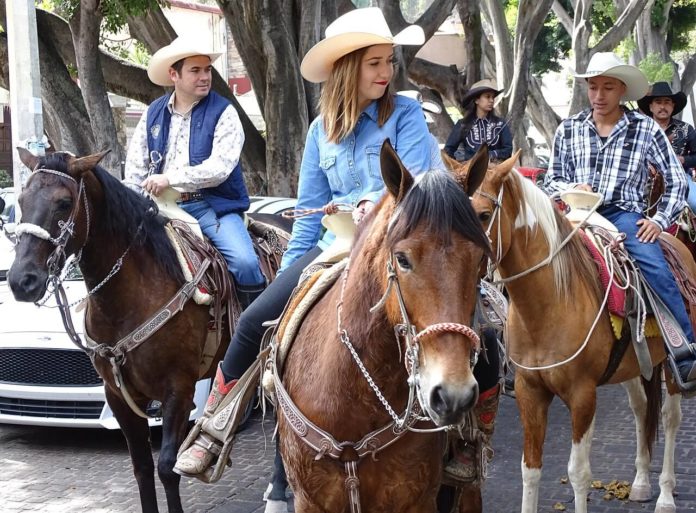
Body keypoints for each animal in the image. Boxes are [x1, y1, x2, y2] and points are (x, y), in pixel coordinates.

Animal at [6, 148, 288, 512]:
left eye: (64, 202)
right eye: (21, 200)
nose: (21, 281)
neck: (131, 296)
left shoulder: (178, 390)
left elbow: (168, 467)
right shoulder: (119, 394)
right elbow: (141, 466)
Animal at [456, 153, 696, 512]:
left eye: (484, 215)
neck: (550, 302)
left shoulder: (582, 394)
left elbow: (578, 473)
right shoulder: (529, 390)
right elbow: (530, 469)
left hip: (670, 364)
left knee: (670, 417)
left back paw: (666, 494)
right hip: (634, 366)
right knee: (641, 408)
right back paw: (640, 482)